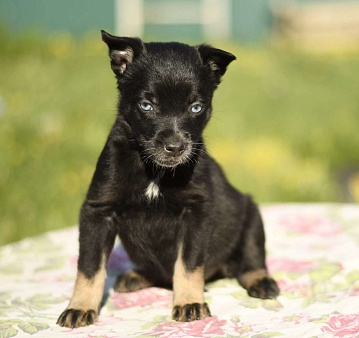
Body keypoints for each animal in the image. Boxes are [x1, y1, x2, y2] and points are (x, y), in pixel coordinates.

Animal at [57, 31, 280, 328]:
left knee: (252, 259)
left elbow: (188, 264)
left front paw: (189, 303)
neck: (155, 172)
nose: (175, 147)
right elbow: (89, 267)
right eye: (146, 105)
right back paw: (135, 276)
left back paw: (261, 281)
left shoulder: (197, 212)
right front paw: (79, 307)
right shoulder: (98, 210)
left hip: (252, 216)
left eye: (196, 107)